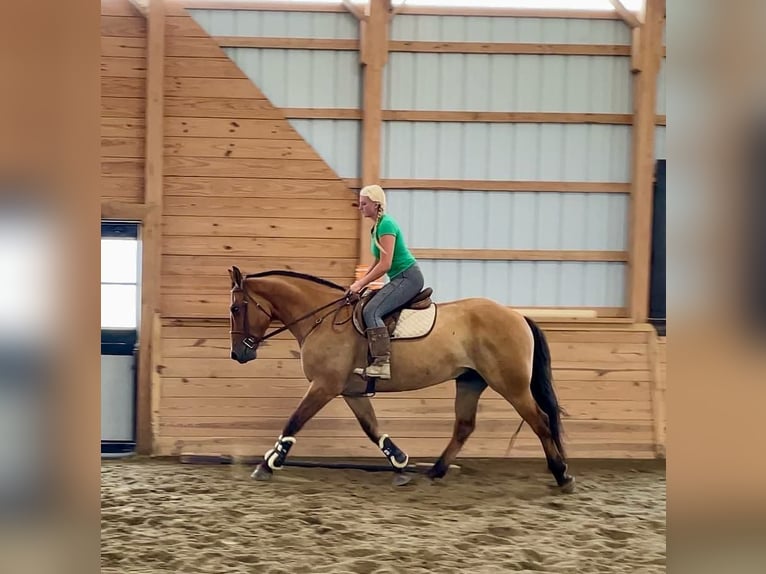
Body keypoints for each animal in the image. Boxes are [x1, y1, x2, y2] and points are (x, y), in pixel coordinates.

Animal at [228, 266, 576, 496]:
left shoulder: (324, 386)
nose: (238, 354)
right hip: (470, 381)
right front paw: (399, 463)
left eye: (235, 307)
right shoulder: (351, 392)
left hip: (511, 385)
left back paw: (562, 475)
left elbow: (294, 421)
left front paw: (268, 464)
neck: (322, 319)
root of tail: (517, 315)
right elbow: (372, 429)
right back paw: (435, 471)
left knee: (541, 421)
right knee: (464, 426)